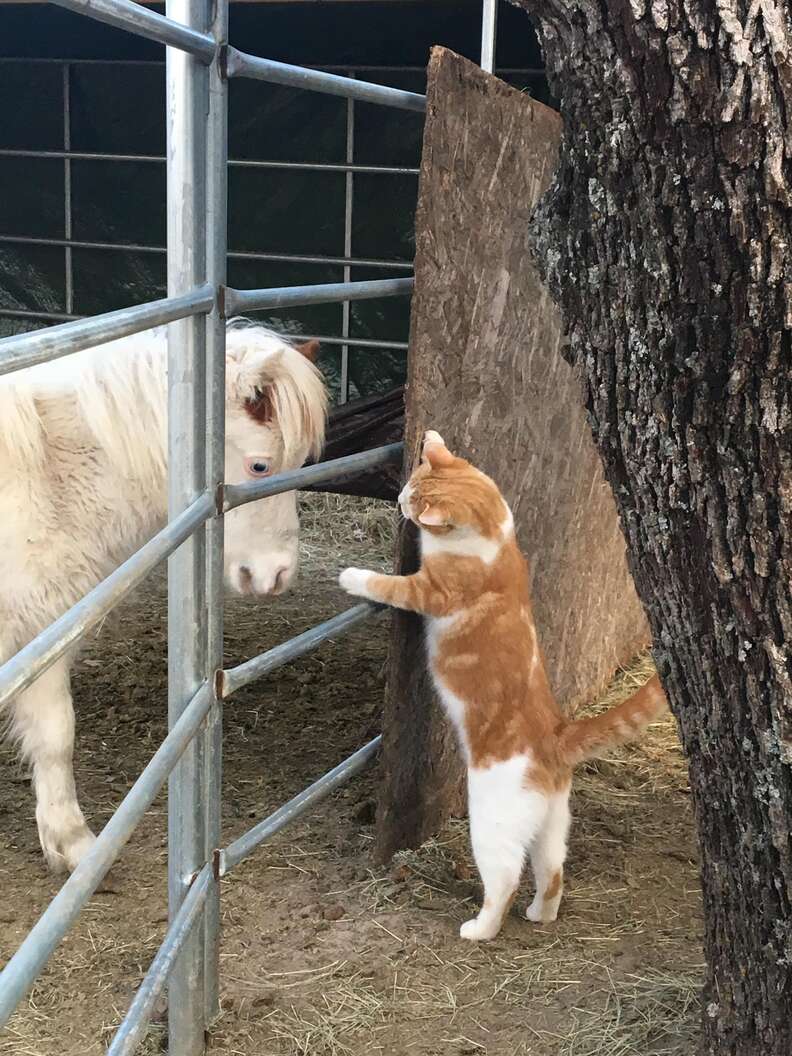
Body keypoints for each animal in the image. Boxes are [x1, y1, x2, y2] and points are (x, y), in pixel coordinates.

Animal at [0, 316, 329, 870]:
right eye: (259, 467)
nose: (277, 576)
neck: (47, 474)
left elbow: (52, 734)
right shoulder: (35, 631)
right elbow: (56, 734)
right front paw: (74, 843)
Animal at [337, 426, 667, 941]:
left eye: (413, 497)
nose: (400, 500)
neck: (494, 535)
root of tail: (557, 736)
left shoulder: (429, 591)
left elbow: (389, 586)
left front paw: (354, 577)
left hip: (492, 824)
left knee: (507, 876)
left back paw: (480, 928)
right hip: (554, 824)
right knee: (553, 870)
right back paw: (540, 914)